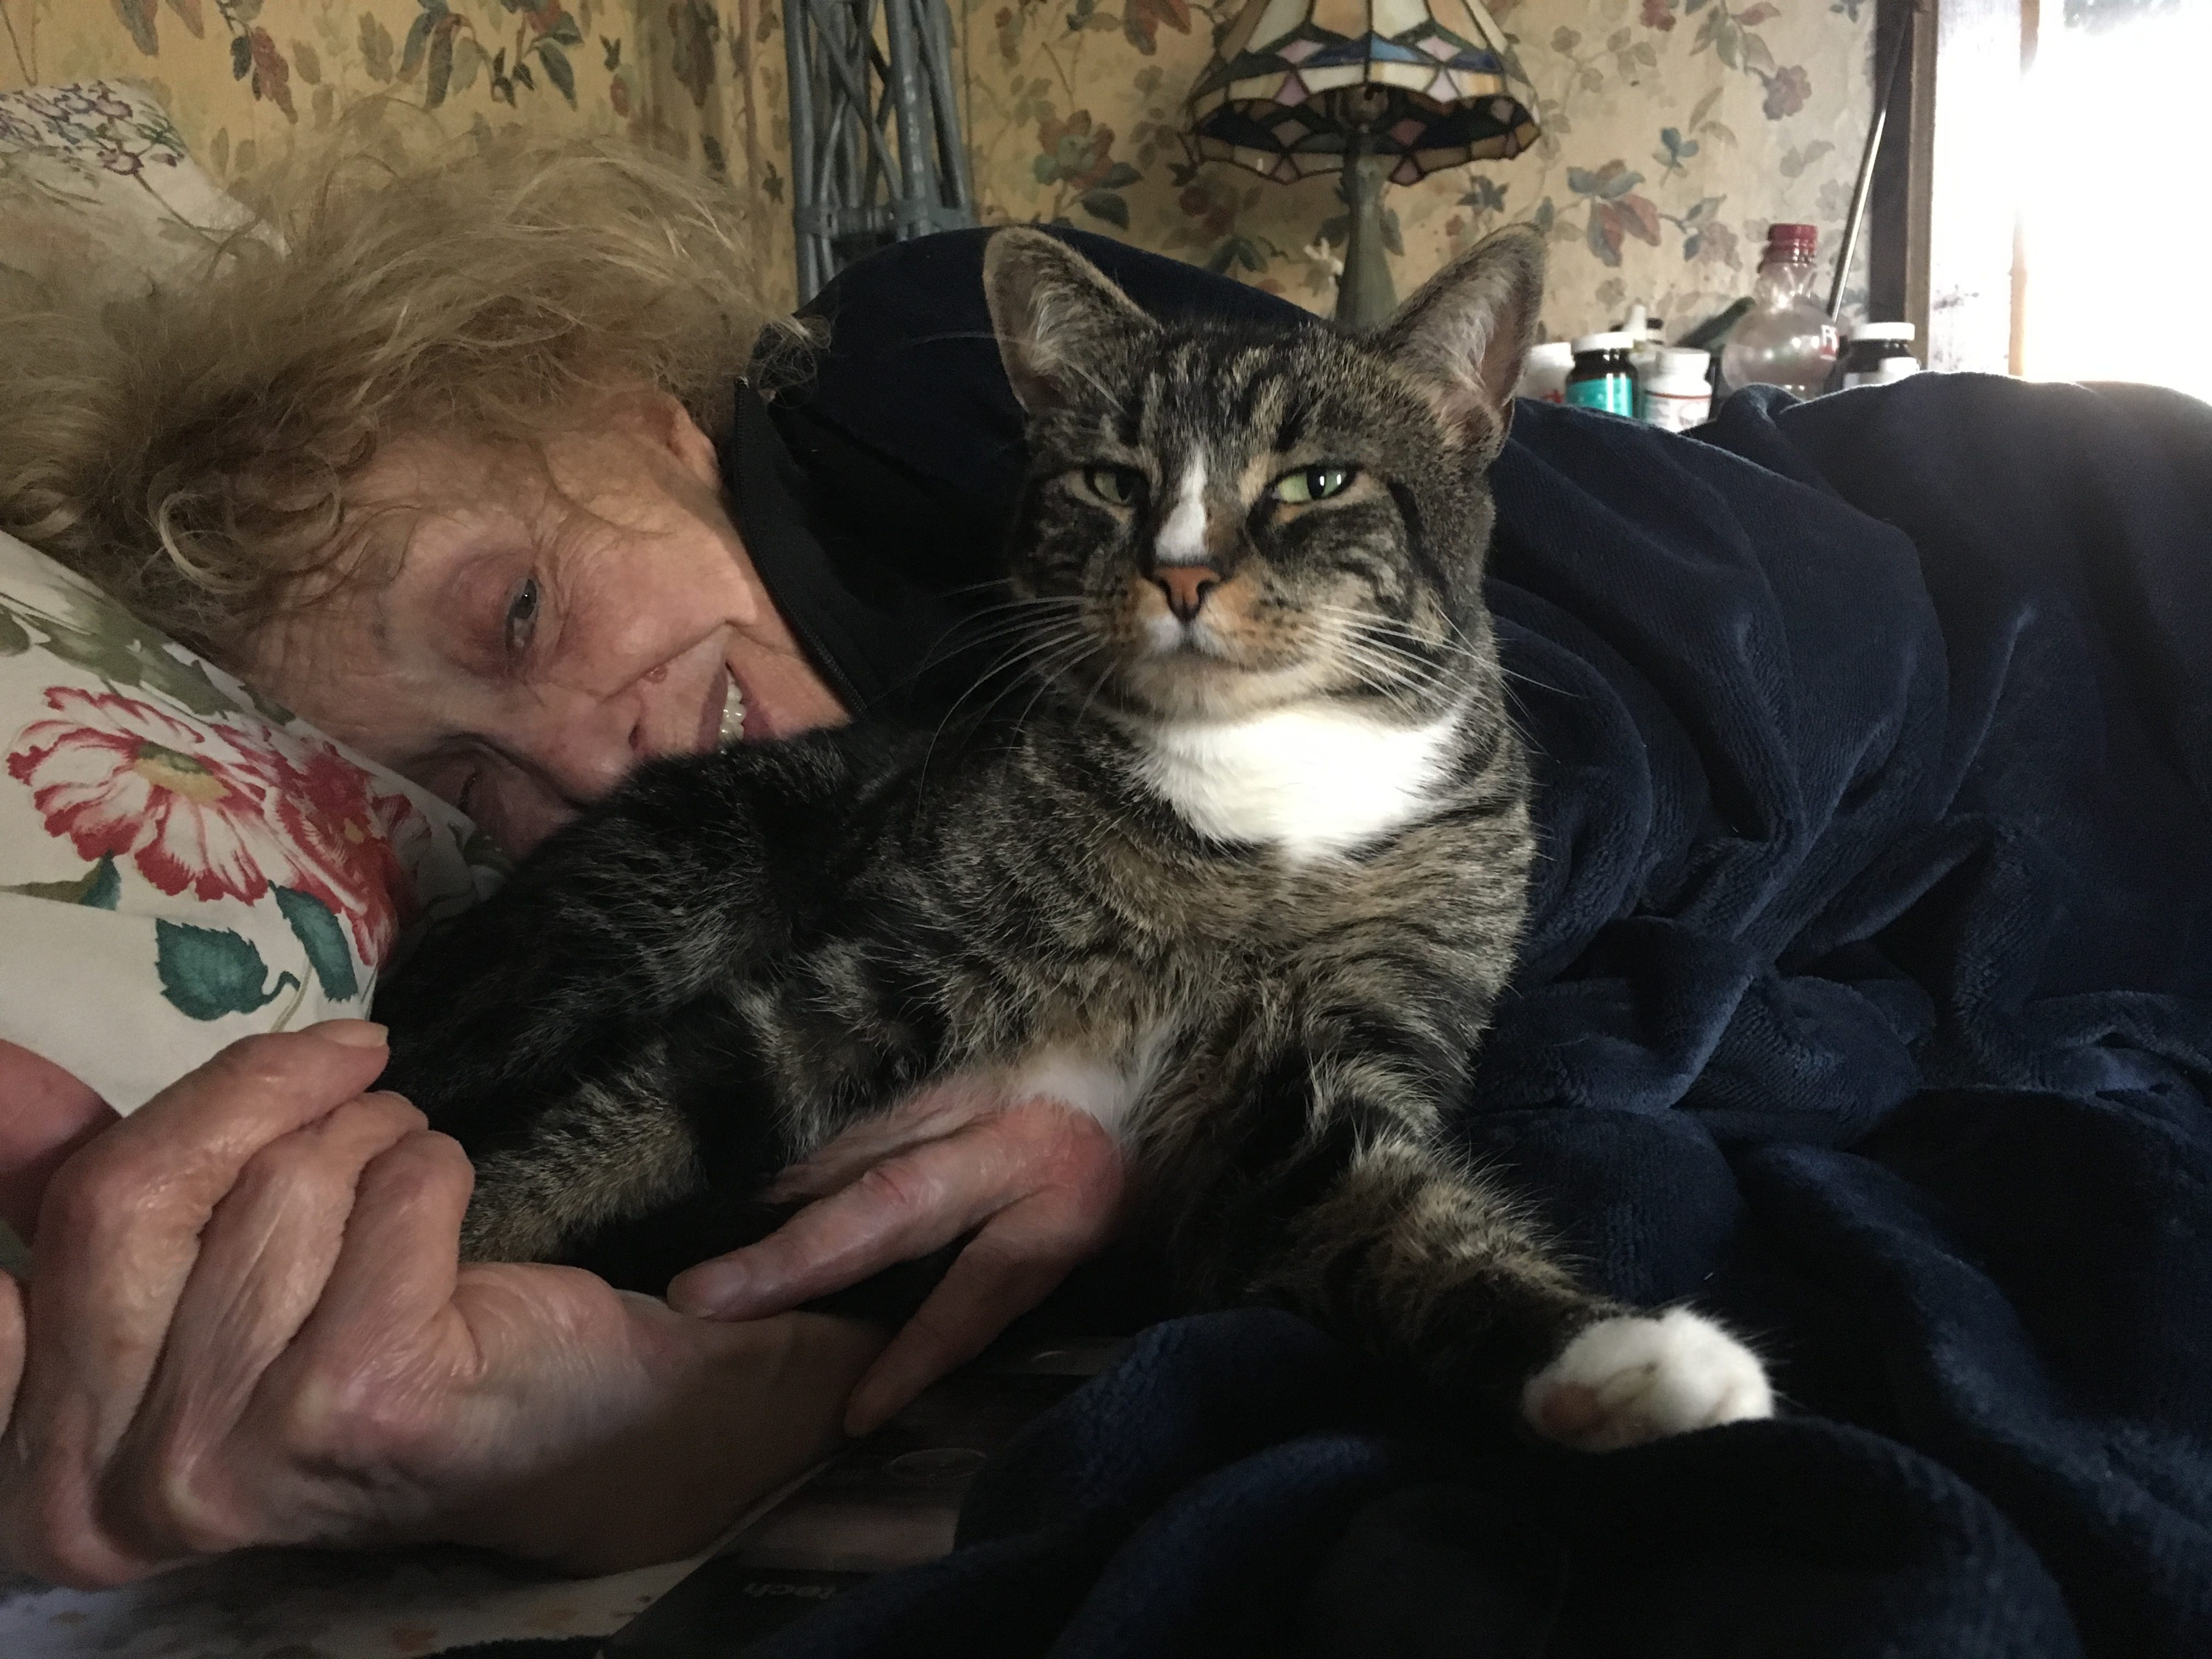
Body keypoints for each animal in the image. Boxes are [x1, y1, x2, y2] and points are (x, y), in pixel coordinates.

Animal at [371, 228, 1769, 1451]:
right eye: (1113, 479)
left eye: (1317, 481)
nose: (1183, 573)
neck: (1270, 783)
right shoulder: (884, 970)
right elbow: (629, 1125)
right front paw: (408, 1292)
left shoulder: (1331, 1054)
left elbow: (1386, 1212)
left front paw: (1610, 1362)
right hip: (652, 899)